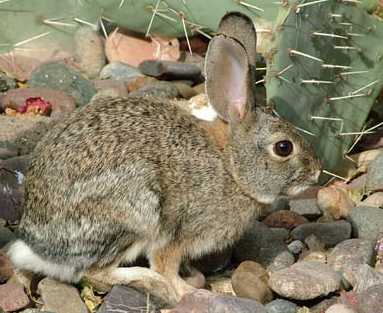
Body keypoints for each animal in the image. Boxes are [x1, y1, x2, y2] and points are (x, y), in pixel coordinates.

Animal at [7, 13, 322, 304]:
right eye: (284, 148)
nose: (317, 171)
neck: (231, 166)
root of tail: (38, 248)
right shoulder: (178, 233)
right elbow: (164, 264)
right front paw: (187, 292)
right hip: (133, 212)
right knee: (96, 271)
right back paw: (148, 281)